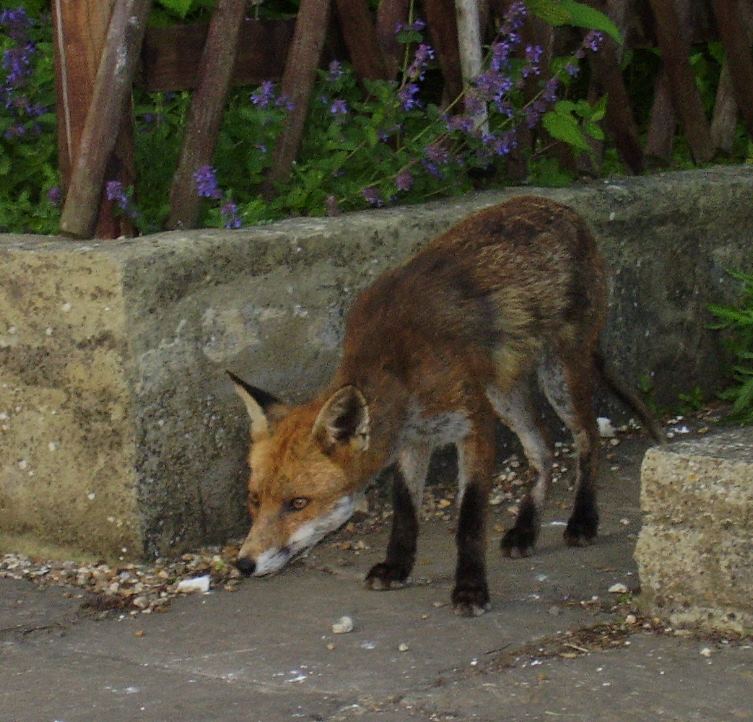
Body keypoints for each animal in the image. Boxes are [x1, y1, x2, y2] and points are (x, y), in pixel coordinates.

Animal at [226, 195, 660, 612]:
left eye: (298, 503)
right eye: (254, 499)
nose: (244, 564)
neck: (399, 364)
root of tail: (567, 211)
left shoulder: (475, 425)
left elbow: (469, 521)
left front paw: (470, 589)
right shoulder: (414, 441)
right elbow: (405, 512)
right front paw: (398, 567)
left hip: (559, 375)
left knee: (588, 439)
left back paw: (583, 520)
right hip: (505, 394)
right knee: (545, 449)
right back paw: (526, 530)